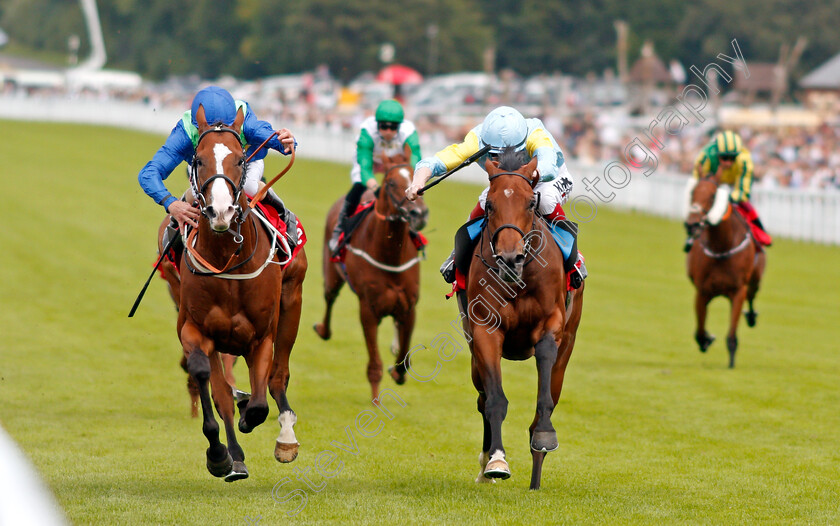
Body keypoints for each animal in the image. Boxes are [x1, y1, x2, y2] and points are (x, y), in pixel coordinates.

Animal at [166, 106, 306, 482]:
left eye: (241, 159)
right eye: (198, 160)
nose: (221, 211)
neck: (227, 260)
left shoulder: (262, 335)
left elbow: (258, 402)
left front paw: (256, 420)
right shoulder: (194, 328)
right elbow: (211, 385)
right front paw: (220, 455)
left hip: (292, 302)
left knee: (278, 376)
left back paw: (286, 435)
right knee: (223, 390)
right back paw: (235, 456)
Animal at [316, 152, 434, 400]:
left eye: (415, 175)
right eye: (391, 183)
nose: (419, 214)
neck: (390, 255)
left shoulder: (409, 307)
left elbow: (403, 360)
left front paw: (397, 369)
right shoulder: (368, 309)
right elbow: (374, 364)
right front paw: (376, 401)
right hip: (332, 275)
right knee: (329, 299)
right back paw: (323, 329)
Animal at [460, 147, 584, 490]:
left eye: (530, 202)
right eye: (490, 204)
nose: (509, 258)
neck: (520, 278)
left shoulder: (552, 325)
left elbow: (544, 399)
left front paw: (543, 434)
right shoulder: (485, 330)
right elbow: (494, 400)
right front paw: (496, 461)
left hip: (568, 347)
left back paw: (536, 480)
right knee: (481, 397)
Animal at [684, 175, 764, 370]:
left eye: (713, 196)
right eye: (692, 192)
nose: (692, 224)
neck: (722, 246)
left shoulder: (738, 291)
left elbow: (732, 336)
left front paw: (731, 364)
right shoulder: (702, 291)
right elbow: (699, 332)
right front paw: (707, 339)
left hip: (755, 281)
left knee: (752, 297)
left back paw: (751, 316)